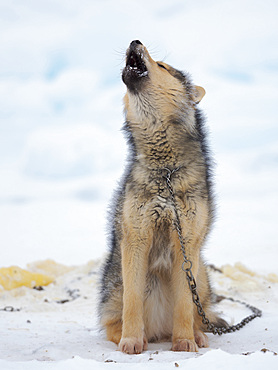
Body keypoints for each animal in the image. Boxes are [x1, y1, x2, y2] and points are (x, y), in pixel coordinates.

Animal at [99, 39, 227, 354]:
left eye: (163, 66)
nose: (135, 41)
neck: (165, 171)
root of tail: (159, 331)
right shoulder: (136, 239)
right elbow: (133, 303)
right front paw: (132, 341)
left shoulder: (187, 245)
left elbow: (184, 304)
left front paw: (184, 342)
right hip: (115, 283)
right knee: (111, 321)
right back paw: (139, 336)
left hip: (201, 276)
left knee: (198, 312)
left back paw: (197, 335)